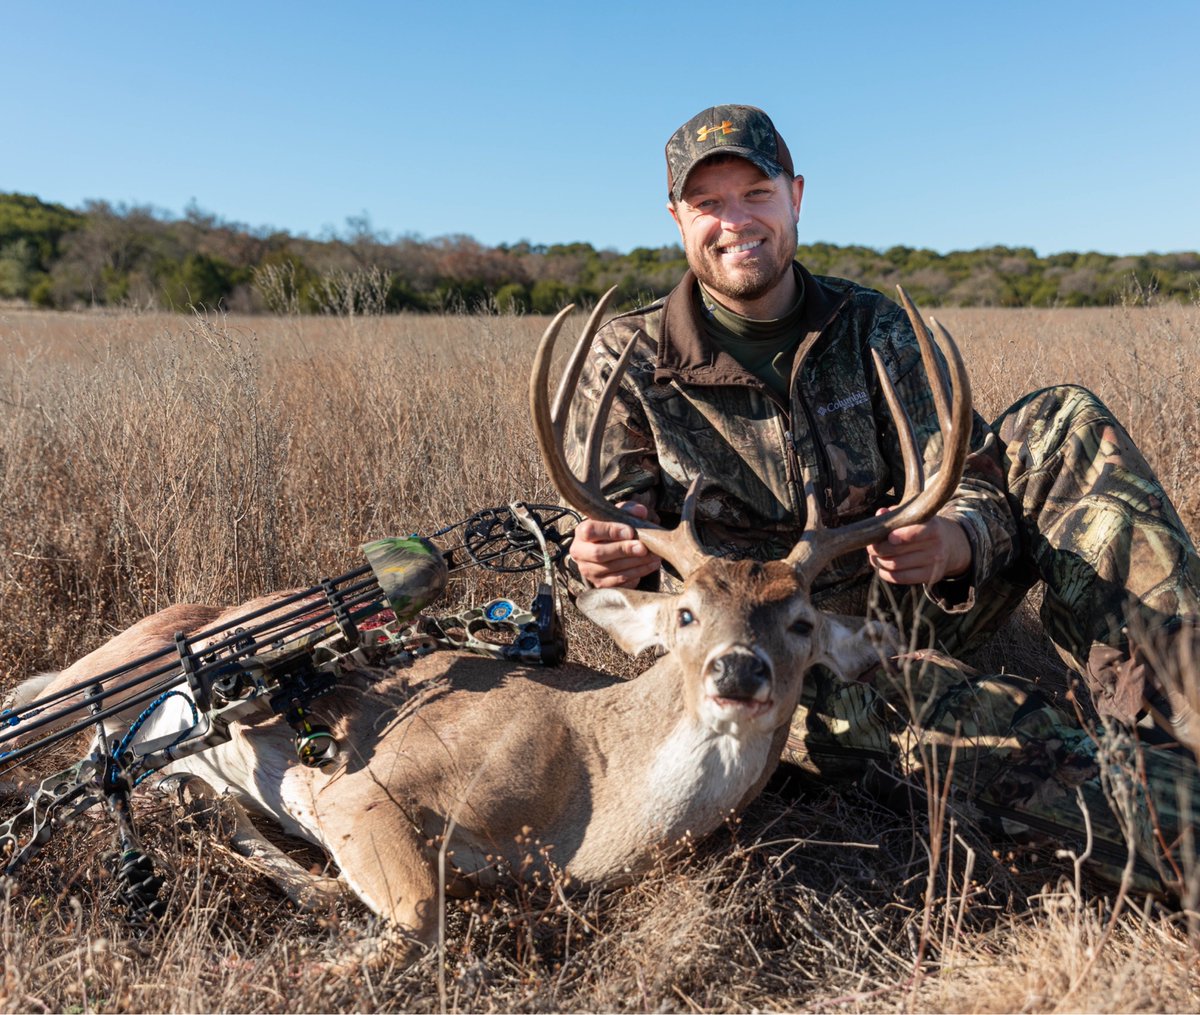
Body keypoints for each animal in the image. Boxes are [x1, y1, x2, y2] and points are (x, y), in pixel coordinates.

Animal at [4, 288, 971, 965]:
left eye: (802, 621)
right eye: (686, 610)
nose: (739, 672)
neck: (590, 793)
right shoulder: (366, 789)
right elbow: (418, 918)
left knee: (189, 798)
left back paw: (299, 882)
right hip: (115, 693)